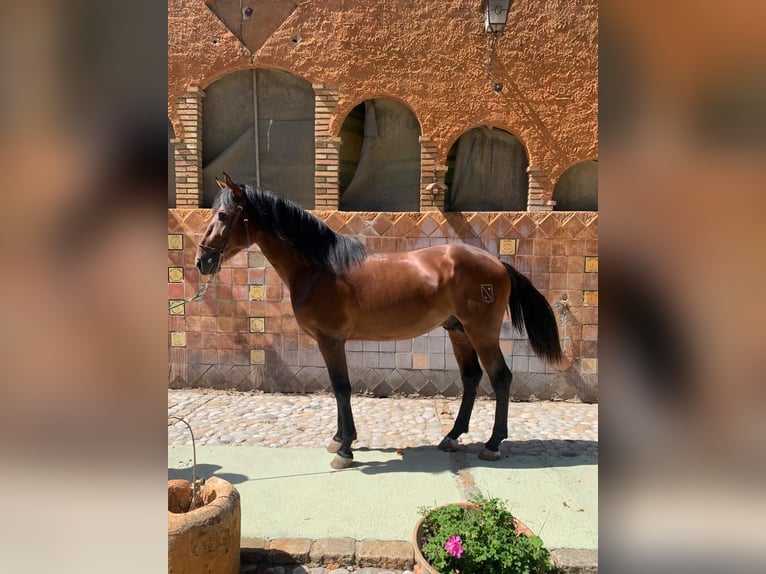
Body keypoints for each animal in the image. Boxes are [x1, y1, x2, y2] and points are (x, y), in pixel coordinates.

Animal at [195, 174, 560, 468]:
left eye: (224, 215)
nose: (202, 261)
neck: (319, 267)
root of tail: (497, 263)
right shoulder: (329, 342)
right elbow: (337, 389)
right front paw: (339, 439)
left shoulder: (331, 340)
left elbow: (342, 388)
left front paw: (345, 449)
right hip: (458, 331)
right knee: (471, 378)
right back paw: (452, 436)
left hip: (481, 333)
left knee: (501, 378)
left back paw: (493, 444)